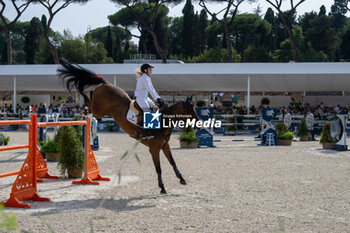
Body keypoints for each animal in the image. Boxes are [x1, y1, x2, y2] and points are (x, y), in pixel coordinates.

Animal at [57, 59, 200, 194]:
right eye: (190, 110)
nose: (198, 126)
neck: (163, 122)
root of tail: (105, 83)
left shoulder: (165, 146)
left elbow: (172, 162)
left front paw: (181, 179)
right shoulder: (154, 149)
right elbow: (159, 169)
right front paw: (162, 187)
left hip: (101, 111)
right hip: (98, 110)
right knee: (89, 100)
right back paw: (83, 108)